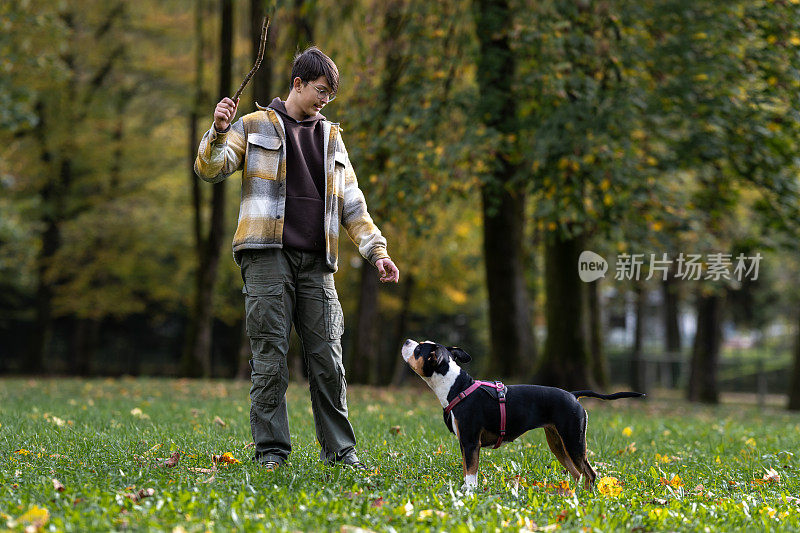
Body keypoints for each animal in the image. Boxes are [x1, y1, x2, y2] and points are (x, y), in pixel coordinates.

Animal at [400, 340, 644, 490]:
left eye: (419, 350)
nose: (407, 341)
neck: (456, 387)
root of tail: (573, 395)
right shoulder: (465, 444)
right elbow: (467, 468)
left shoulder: (470, 443)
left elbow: (470, 471)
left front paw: (468, 492)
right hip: (558, 443)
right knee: (577, 473)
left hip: (574, 441)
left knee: (590, 473)